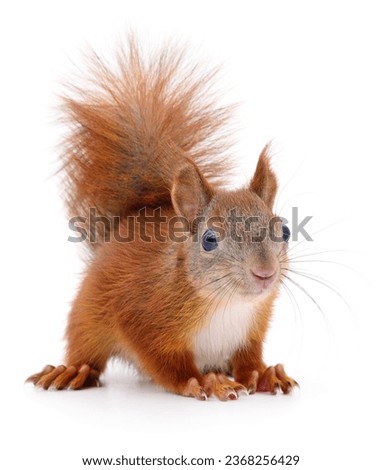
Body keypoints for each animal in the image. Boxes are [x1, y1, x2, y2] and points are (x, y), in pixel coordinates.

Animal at [28, 35, 300, 400]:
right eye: (209, 240)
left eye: (284, 230)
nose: (265, 273)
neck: (226, 303)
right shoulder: (142, 318)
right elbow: (166, 363)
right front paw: (202, 382)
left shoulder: (250, 331)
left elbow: (248, 360)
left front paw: (266, 373)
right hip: (88, 313)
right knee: (85, 346)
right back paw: (72, 370)